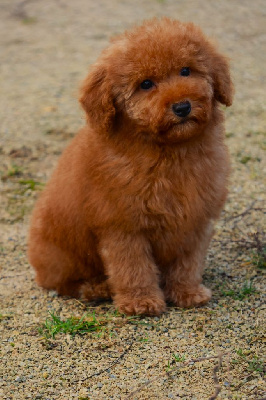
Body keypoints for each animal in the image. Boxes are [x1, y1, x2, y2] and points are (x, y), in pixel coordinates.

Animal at [28, 18, 234, 314]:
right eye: (146, 84)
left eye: (186, 71)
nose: (182, 107)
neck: (169, 152)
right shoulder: (123, 224)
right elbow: (133, 267)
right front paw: (141, 301)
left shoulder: (195, 219)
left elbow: (188, 262)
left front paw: (187, 292)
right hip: (61, 253)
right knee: (62, 283)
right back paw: (96, 288)